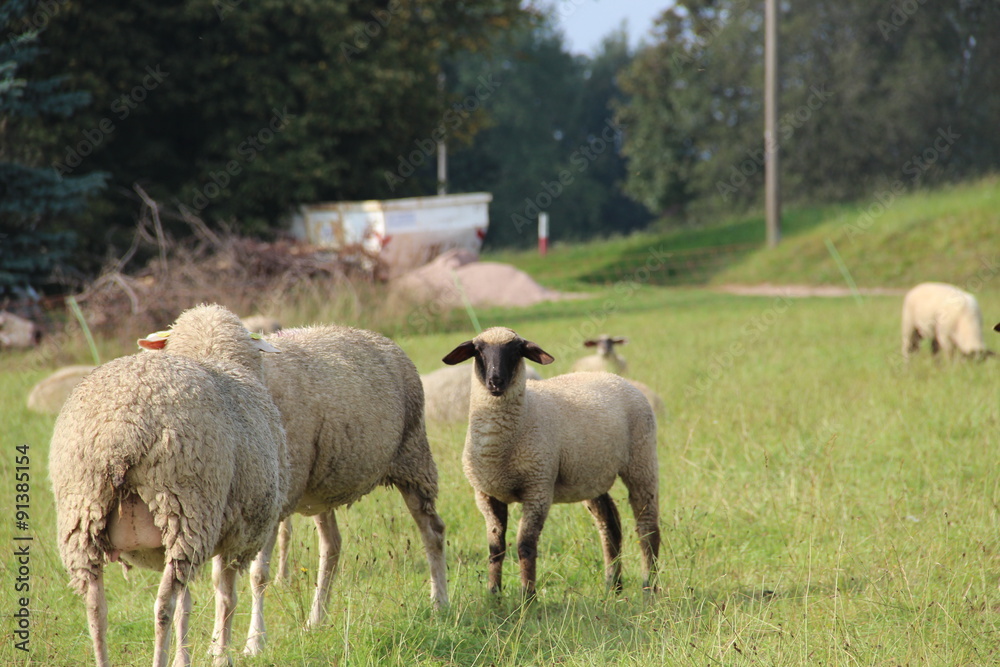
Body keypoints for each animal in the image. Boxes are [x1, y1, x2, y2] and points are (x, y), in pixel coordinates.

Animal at [48, 304, 289, 667]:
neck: (210, 353)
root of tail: (123, 426)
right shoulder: (238, 535)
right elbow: (226, 598)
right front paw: (221, 655)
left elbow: (190, 605)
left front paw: (186, 658)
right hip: (188, 506)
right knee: (163, 605)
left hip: (82, 507)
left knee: (95, 606)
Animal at [242, 324, 448, 655]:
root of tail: (380, 338)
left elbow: (258, 574)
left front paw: (254, 644)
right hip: (321, 486)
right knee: (333, 545)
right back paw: (316, 620)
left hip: (413, 459)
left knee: (433, 532)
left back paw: (440, 602)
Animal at [442, 327, 659, 597]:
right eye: (478, 350)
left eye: (516, 350)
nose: (495, 382)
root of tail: (613, 376)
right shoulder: (486, 494)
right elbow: (495, 547)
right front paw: (493, 594)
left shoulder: (538, 488)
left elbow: (525, 545)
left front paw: (528, 596)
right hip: (591, 474)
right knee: (610, 526)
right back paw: (613, 586)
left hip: (642, 461)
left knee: (648, 528)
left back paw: (649, 587)